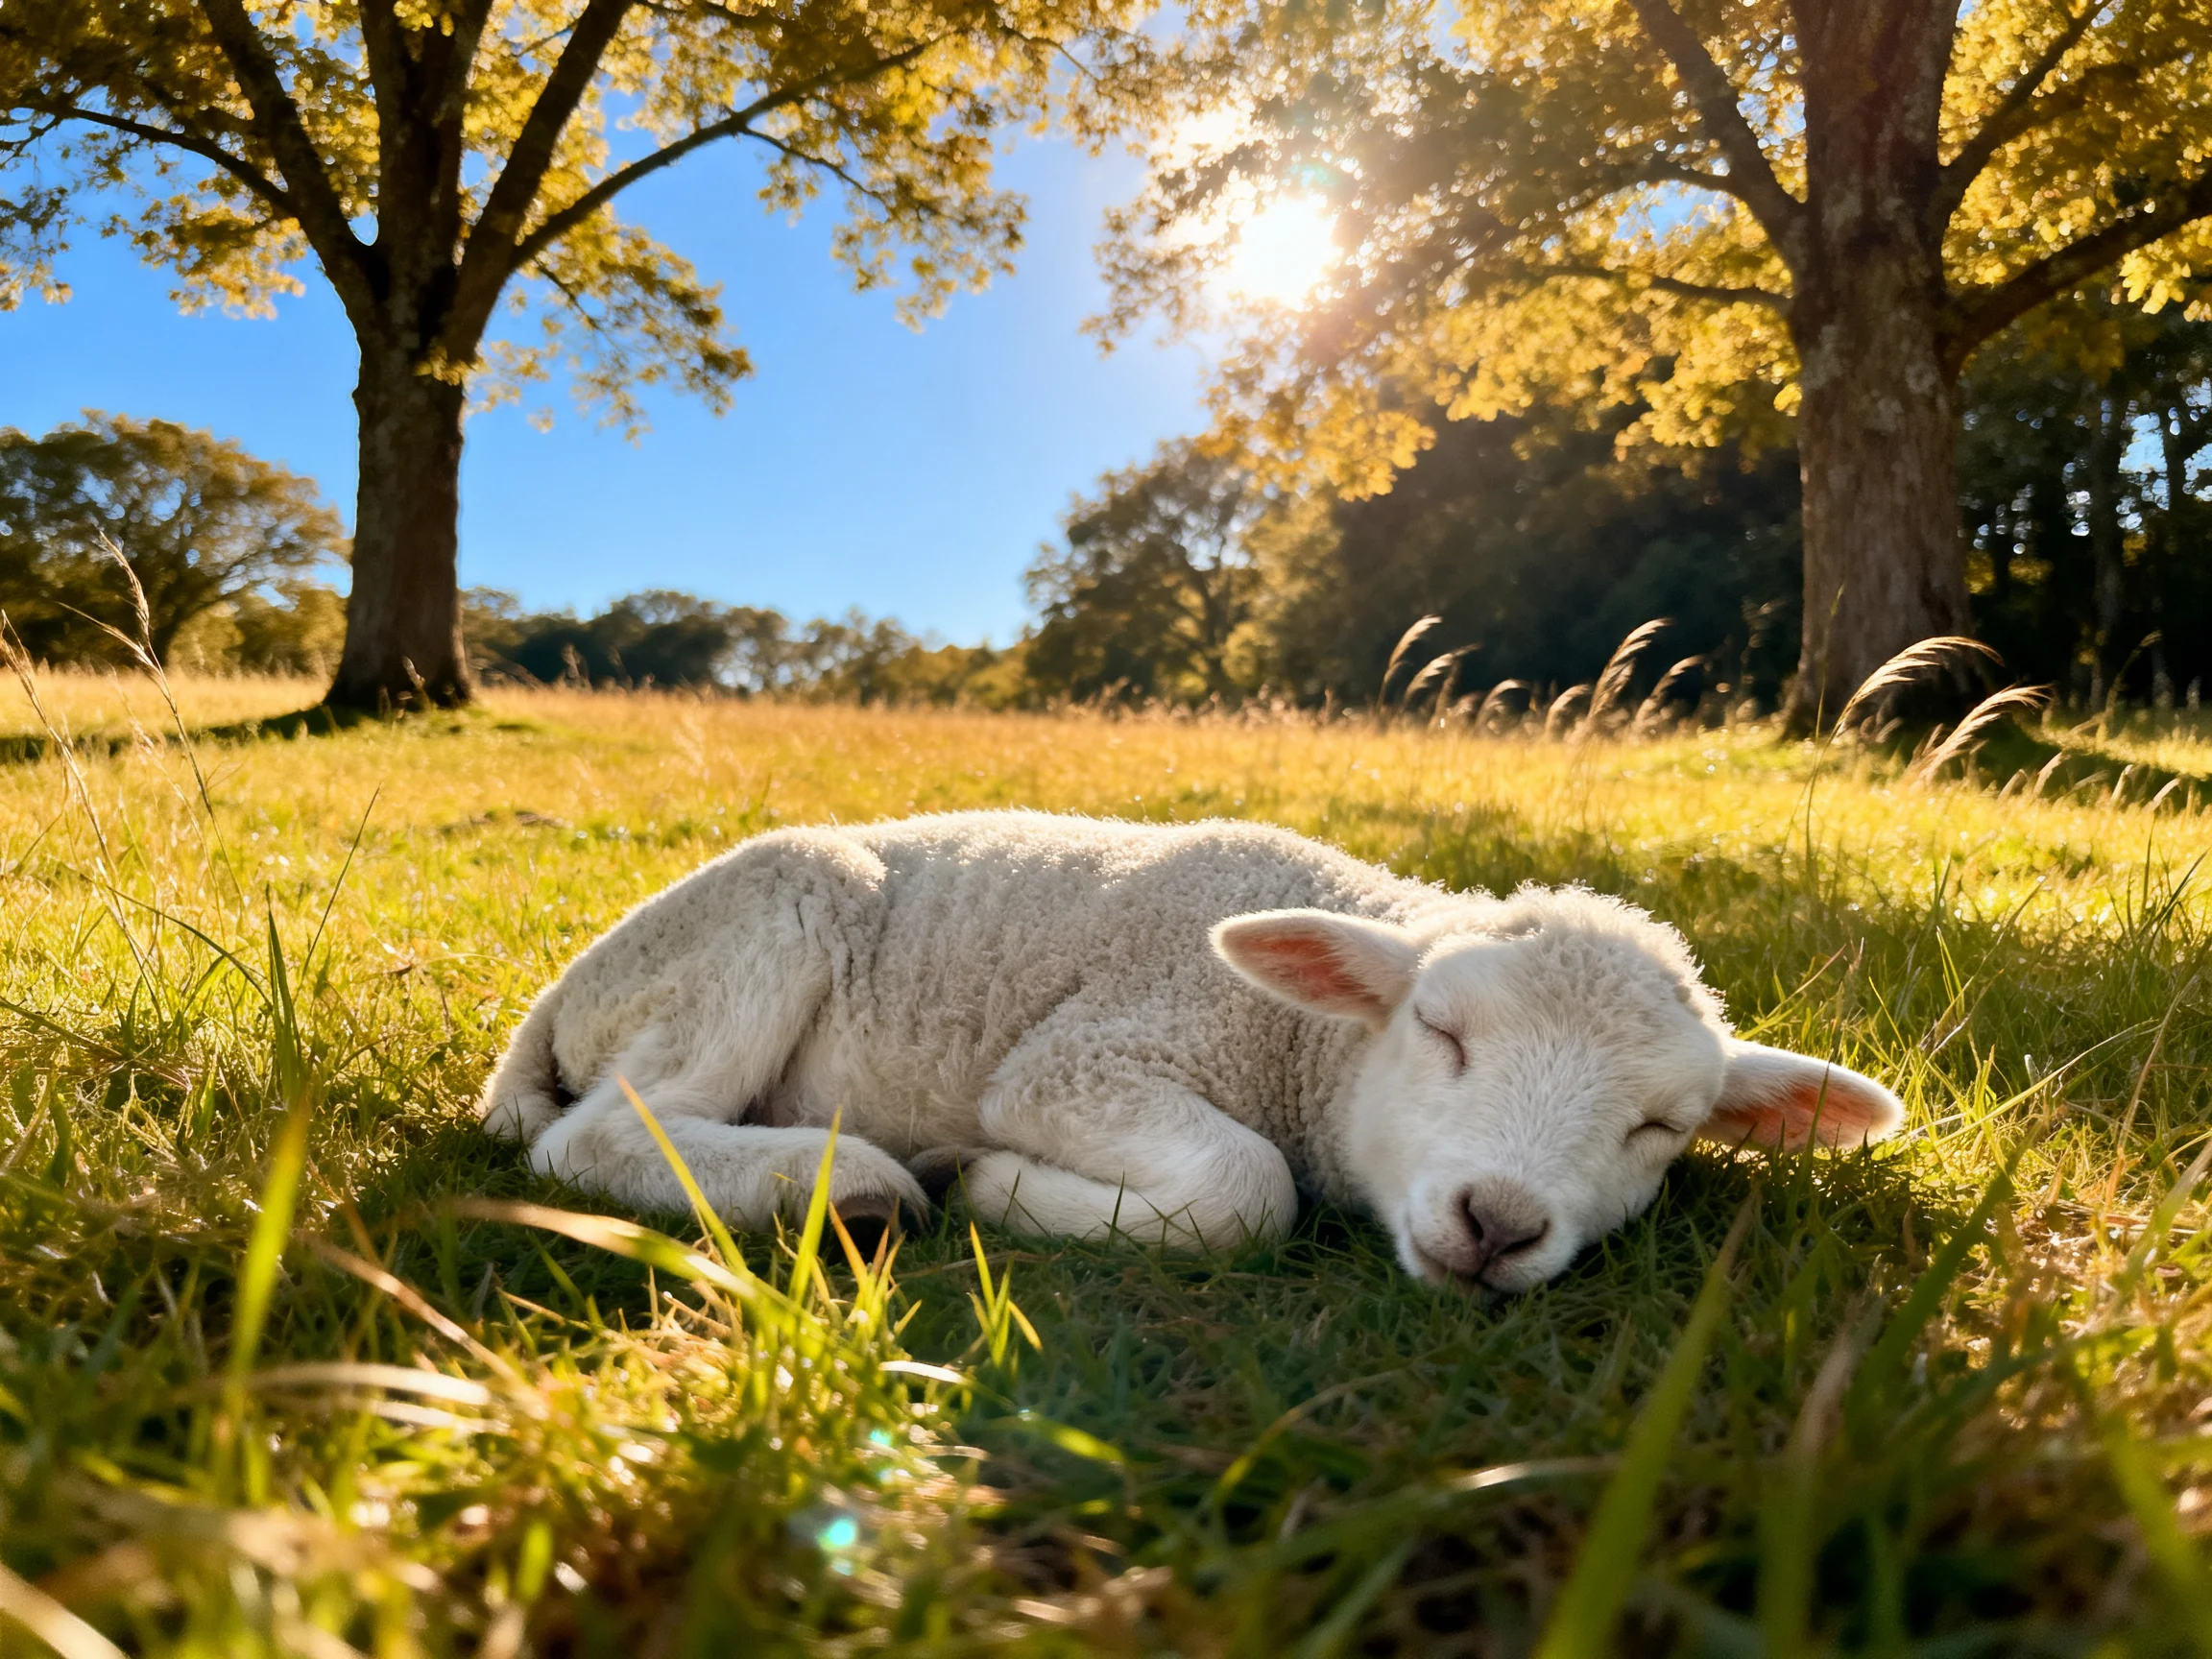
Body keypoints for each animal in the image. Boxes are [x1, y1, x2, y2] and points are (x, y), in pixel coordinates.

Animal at [479, 810, 1903, 1290]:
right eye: (1440, 1030)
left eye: (1661, 1129)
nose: (1497, 1223)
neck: (1304, 1043)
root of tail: (557, 1001)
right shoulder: (1085, 1056)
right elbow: (1245, 1188)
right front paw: (986, 1184)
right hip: (762, 924)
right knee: (592, 1140)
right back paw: (853, 1186)